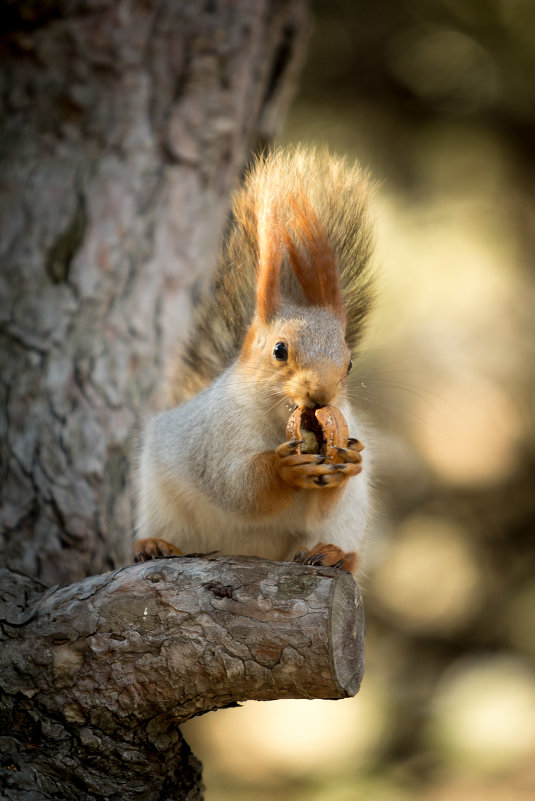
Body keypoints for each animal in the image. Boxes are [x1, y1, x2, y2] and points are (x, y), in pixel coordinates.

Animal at [134, 144, 374, 568]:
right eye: (279, 350)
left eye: (348, 362)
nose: (322, 394)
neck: (281, 419)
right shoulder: (216, 435)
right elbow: (237, 487)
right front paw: (283, 469)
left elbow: (323, 505)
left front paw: (349, 460)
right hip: (160, 499)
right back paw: (154, 544)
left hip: (349, 518)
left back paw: (333, 554)